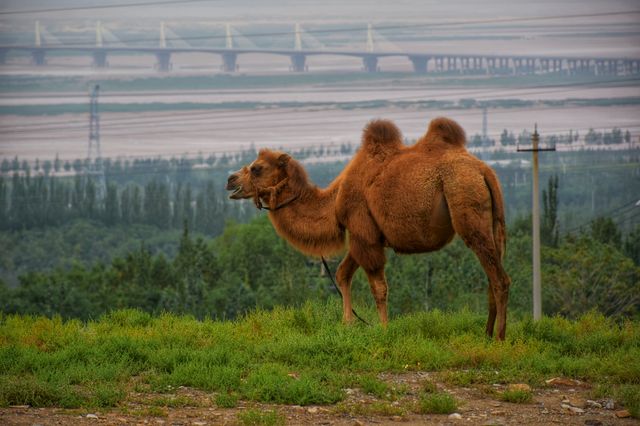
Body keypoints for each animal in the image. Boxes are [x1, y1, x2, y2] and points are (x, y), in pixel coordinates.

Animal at [228, 115, 512, 340]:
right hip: (492, 220)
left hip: (465, 202)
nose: (230, 180)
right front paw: (348, 323)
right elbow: (342, 274)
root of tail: (484, 171)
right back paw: (486, 333)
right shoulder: (362, 236)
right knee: (492, 273)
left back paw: (499, 337)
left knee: (499, 278)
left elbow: (379, 287)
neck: (334, 201)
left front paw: (384, 329)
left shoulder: (363, 231)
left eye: (257, 168)